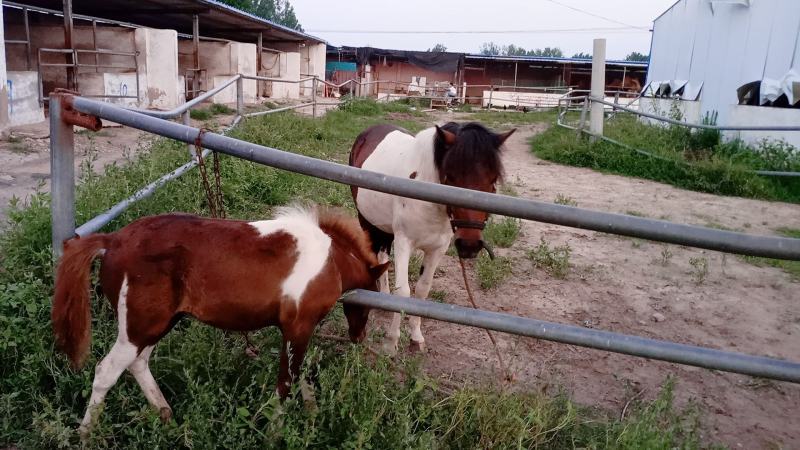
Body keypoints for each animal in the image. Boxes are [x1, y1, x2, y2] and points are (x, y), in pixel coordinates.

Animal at [51, 206, 389, 435]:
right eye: (369, 303)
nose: (358, 336)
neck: (330, 260)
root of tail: (113, 240)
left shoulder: (297, 332)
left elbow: (300, 374)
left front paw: (312, 415)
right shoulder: (298, 328)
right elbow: (286, 381)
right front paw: (275, 432)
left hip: (157, 324)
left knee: (138, 364)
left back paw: (167, 416)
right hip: (139, 326)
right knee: (106, 371)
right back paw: (86, 434)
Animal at [349, 122, 514, 354]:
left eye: (492, 181)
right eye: (450, 178)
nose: (469, 244)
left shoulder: (438, 249)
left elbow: (422, 290)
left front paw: (416, 338)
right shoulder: (404, 243)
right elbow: (403, 292)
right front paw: (391, 343)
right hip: (366, 221)